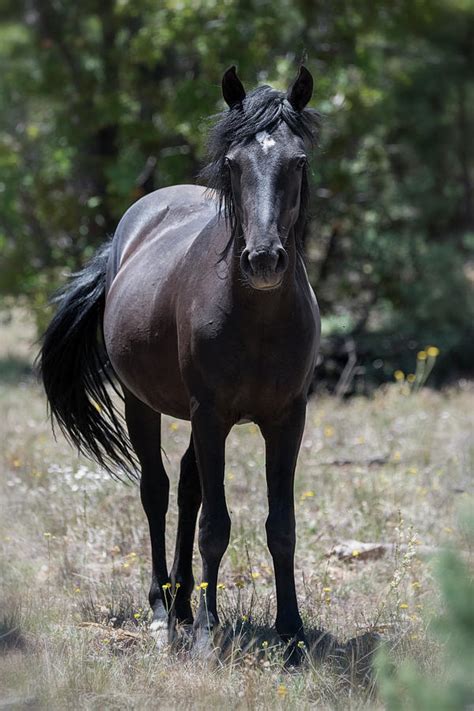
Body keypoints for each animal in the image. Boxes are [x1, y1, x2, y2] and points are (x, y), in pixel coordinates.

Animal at [39, 67, 322, 660]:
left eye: (298, 161)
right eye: (233, 163)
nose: (264, 260)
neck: (258, 321)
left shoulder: (288, 419)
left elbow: (280, 526)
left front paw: (292, 633)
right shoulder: (211, 415)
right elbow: (216, 523)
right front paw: (209, 636)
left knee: (189, 488)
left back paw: (183, 603)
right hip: (142, 405)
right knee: (158, 491)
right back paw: (160, 608)